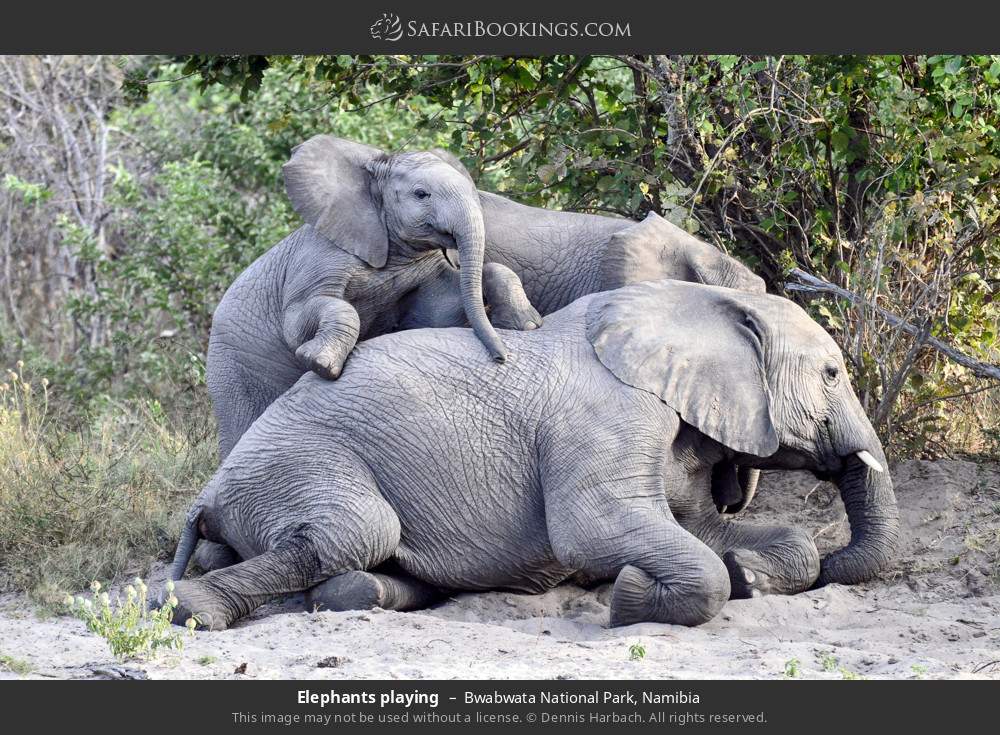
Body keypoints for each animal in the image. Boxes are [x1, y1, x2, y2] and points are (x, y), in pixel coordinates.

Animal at [168, 279, 898, 631]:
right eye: (833, 373)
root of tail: (209, 492)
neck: (688, 301)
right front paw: (630, 594)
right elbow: (593, 530)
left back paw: (360, 593)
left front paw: (748, 569)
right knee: (357, 528)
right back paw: (191, 610)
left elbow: (709, 530)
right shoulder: (607, 417)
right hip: (294, 467)